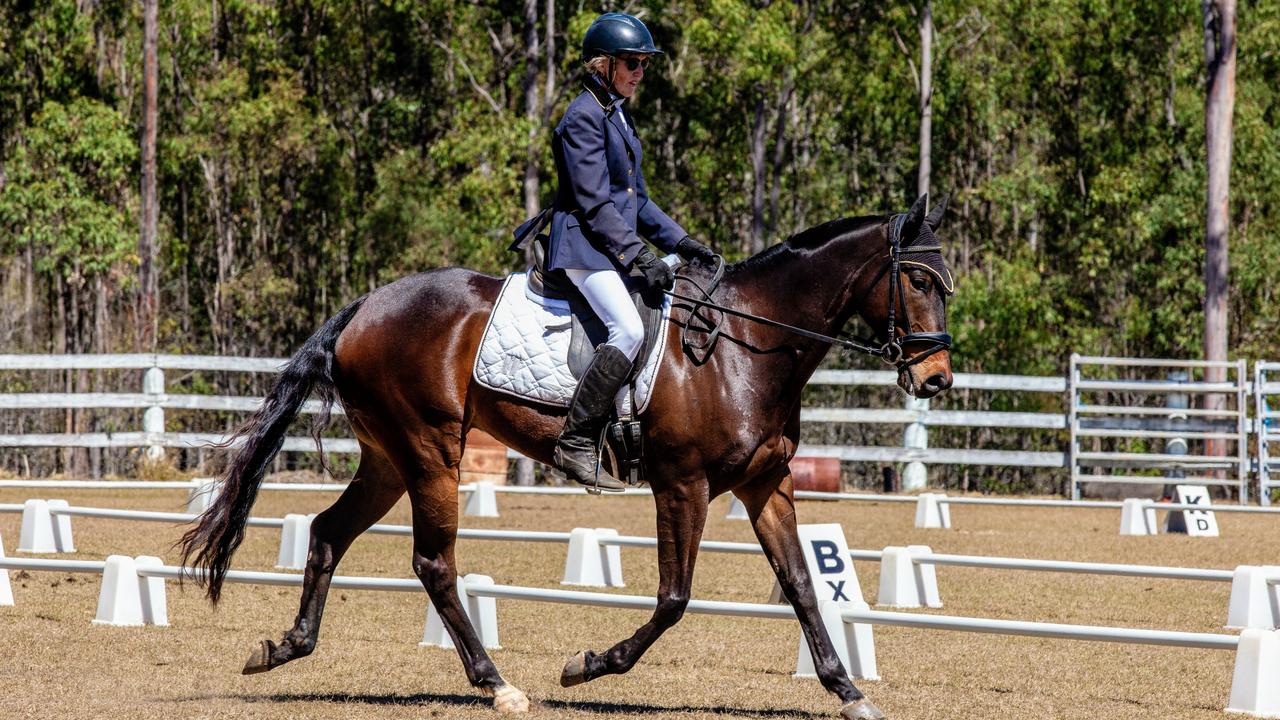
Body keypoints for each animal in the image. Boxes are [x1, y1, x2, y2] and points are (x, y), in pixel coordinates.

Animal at [185, 192, 957, 717]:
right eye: (918, 281)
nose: (937, 379)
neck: (744, 346)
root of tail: (365, 306)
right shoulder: (683, 485)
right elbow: (674, 598)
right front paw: (589, 664)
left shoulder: (766, 484)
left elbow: (801, 584)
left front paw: (849, 690)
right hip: (432, 453)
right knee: (434, 563)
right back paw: (497, 684)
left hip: (387, 459)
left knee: (327, 532)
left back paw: (285, 646)